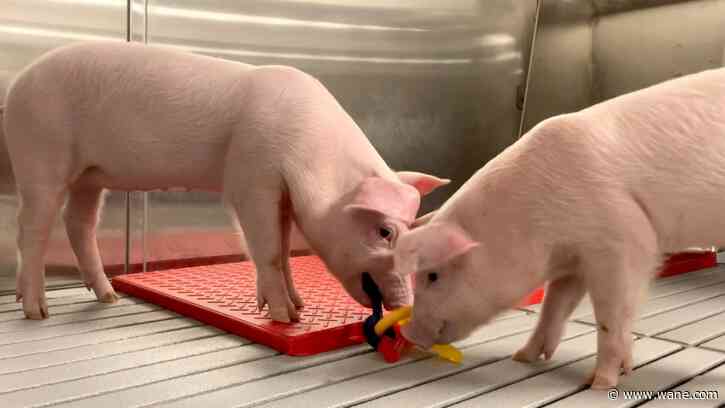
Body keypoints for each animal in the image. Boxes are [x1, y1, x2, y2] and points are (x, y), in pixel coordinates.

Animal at [2, 41, 449, 322]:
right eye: (385, 231)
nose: (406, 305)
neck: (310, 153)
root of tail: (17, 85)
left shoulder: (282, 196)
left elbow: (284, 250)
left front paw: (300, 307)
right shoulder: (251, 181)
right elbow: (267, 250)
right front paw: (284, 318)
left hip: (90, 176)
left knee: (78, 223)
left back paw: (109, 297)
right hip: (41, 153)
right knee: (32, 229)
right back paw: (36, 311)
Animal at [392, 67, 725, 389]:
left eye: (433, 276)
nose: (408, 333)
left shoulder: (624, 239)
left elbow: (612, 316)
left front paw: (599, 384)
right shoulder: (573, 262)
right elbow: (554, 306)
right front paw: (521, 357)